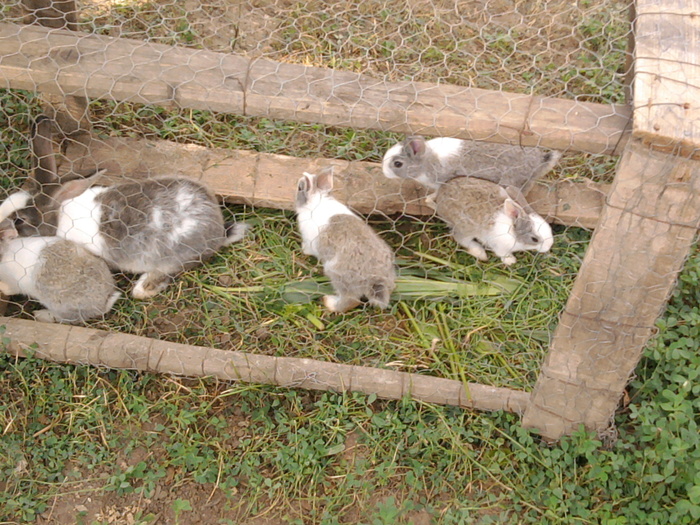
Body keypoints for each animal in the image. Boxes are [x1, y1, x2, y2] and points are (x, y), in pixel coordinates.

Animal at [294, 170, 396, 314]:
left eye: (299, 188)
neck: (315, 200)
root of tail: (375, 276)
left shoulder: (310, 240)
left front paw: (303, 249)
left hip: (338, 276)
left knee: (351, 300)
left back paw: (329, 302)